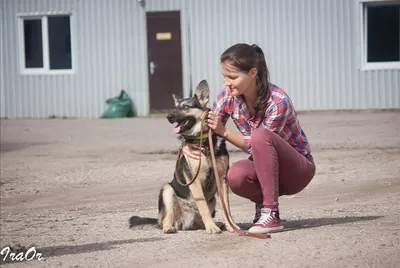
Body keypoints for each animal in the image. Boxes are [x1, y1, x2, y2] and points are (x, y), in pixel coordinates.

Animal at [130, 80, 239, 234]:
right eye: (174, 107)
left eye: (186, 107)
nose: (169, 117)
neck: (203, 141)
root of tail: (184, 222)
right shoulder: (194, 180)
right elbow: (203, 207)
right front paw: (211, 227)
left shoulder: (222, 179)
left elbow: (226, 208)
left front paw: (231, 225)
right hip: (167, 190)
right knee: (167, 218)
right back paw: (169, 227)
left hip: (211, 200)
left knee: (198, 222)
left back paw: (216, 223)